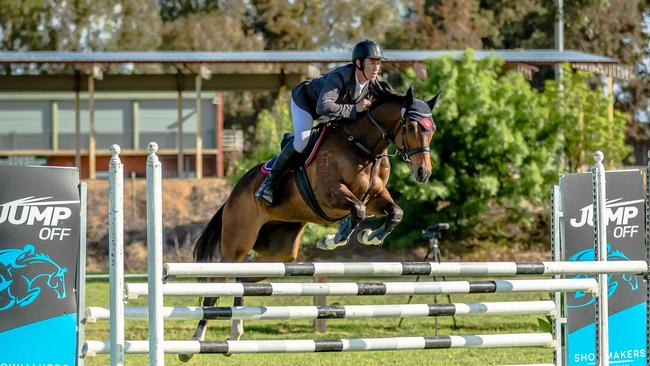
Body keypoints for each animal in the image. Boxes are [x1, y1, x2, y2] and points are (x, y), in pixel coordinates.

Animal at [180, 86, 438, 364]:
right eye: (411, 126)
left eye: (432, 128)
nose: (423, 173)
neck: (363, 147)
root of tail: (233, 193)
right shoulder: (330, 194)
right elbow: (357, 210)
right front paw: (335, 238)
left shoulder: (375, 197)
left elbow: (394, 212)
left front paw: (370, 236)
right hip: (236, 245)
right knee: (216, 289)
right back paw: (192, 345)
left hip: (281, 252)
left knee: (243, 278)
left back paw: (236, 332)